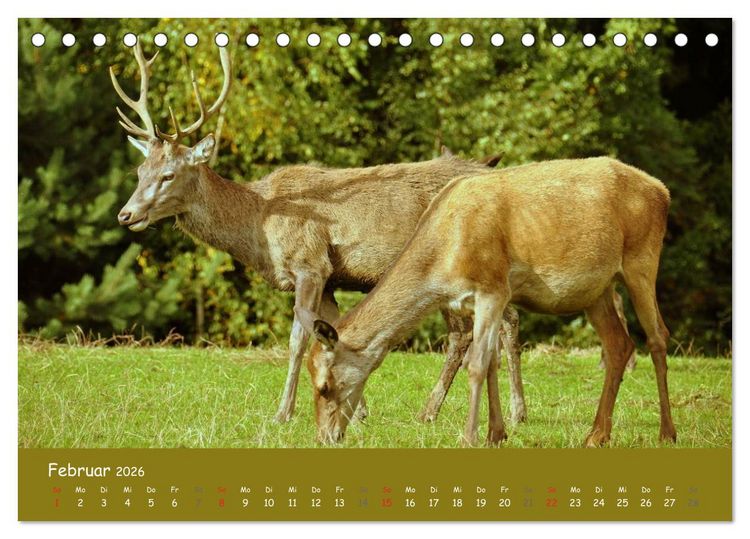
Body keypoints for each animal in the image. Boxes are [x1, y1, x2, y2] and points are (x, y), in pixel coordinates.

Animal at [110, 41, 528, 425]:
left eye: (169, 175)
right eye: (139, 171)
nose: (125, 214)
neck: (260, 226)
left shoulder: (310, 264)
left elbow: (298, 338)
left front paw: (283, 413)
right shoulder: (330, 278)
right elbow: (335, 332)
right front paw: (357, 412)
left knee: (472, 331)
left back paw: (449, 411)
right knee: (502, 320)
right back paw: (505, 411)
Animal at [299, 156, 676, 447]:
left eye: (324, 386)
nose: (324, 437)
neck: (445, 256)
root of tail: (662, 190)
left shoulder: (493, 289)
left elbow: (477, 364)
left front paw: (470, 437)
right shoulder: (469, 301)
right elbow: (491, 362)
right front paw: (497, 434)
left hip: (642, 261)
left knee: (658, 336)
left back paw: (666, 432)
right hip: (596, 291)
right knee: (619, 344)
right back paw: (597, 434)